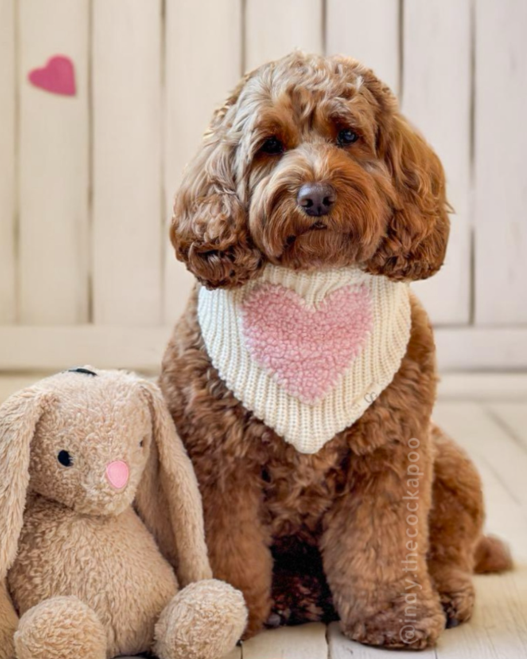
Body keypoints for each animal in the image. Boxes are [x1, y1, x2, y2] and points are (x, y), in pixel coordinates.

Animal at [160, 54, 512, 652]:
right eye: (270, 145)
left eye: (348, 135)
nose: (316, 197)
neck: (313, 283)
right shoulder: (217, 457)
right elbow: (226, 545)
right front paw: (225, 614)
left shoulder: (391, 453)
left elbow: (383, 546)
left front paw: (395, 616)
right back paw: (291, 595)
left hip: (448, 462)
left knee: (451, 549)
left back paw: (444, 593)